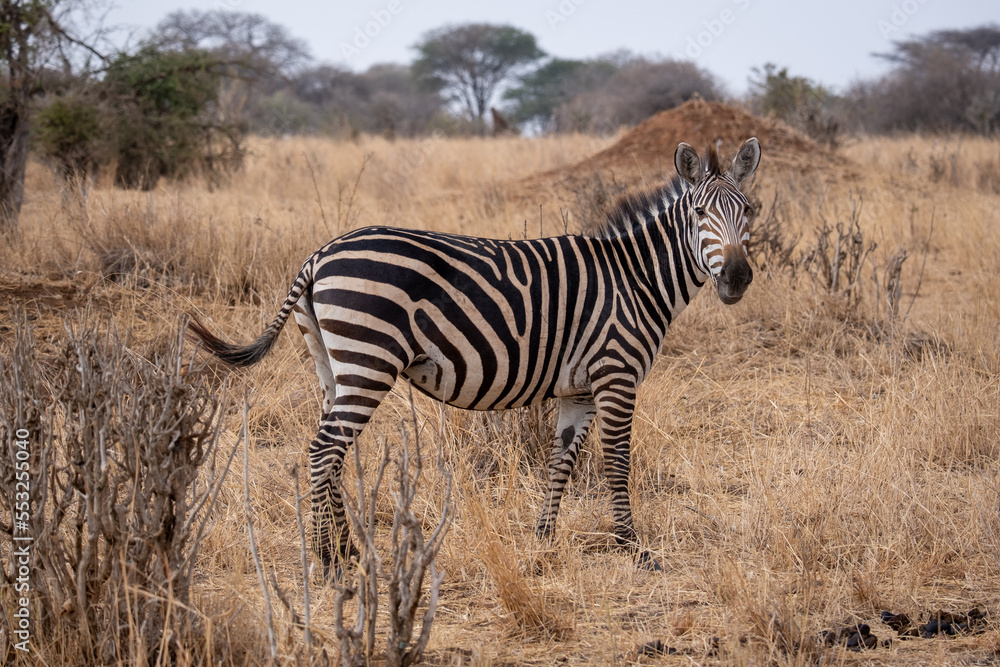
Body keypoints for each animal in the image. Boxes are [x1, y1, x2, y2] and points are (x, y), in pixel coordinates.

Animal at [189, 137, 761, 577]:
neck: (635, 279)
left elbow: (561, 460)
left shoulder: (578, 390)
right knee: (323, 450)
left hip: (333, 365)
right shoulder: (615, 375)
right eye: (700, 213)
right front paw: (634, 550)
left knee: (331, 452)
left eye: (749, 212)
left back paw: (347, 550)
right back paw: (329, 561)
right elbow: (617, 463)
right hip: (369, 361)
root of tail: (318, 255)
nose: (736, 278)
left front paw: (544, 538)